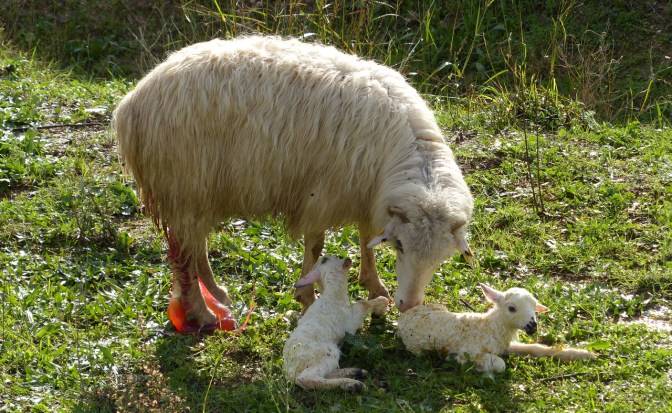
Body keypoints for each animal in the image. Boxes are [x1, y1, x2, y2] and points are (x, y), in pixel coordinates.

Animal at [112, 35, 473, 331]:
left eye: (441, 258)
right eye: (399, 247)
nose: (408, 305)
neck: (396, 150)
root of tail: (130, 104)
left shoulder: (366, 194)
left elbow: (366, 237)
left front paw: (373, 284)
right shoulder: (324, 194)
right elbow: (316, 245)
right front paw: (307, 296)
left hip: (199, 192)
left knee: (196, 247)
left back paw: (217, 293)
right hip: (184, 185)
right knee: (183, 255)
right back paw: (203, 314)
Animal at [282, 255, 389, 392]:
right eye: (326, 259)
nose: (347, 258)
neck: (333, 293)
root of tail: (290, 371)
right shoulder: (349, 326)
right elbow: (362, 304)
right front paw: (382, 304)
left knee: (323, 375)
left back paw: (355, 373)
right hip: (327, 353)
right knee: (307, 379)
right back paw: (354, 384)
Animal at [397, 283, 596, 373]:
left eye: (534, 306)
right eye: (511, 308)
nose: (532, 326)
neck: (489, 327)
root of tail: (404, 317)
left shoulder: (504, 345)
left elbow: (536, 348)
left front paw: (584, 354)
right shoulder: (472, 350)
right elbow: (500, 364)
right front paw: (459, 361)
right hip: (417, 348)